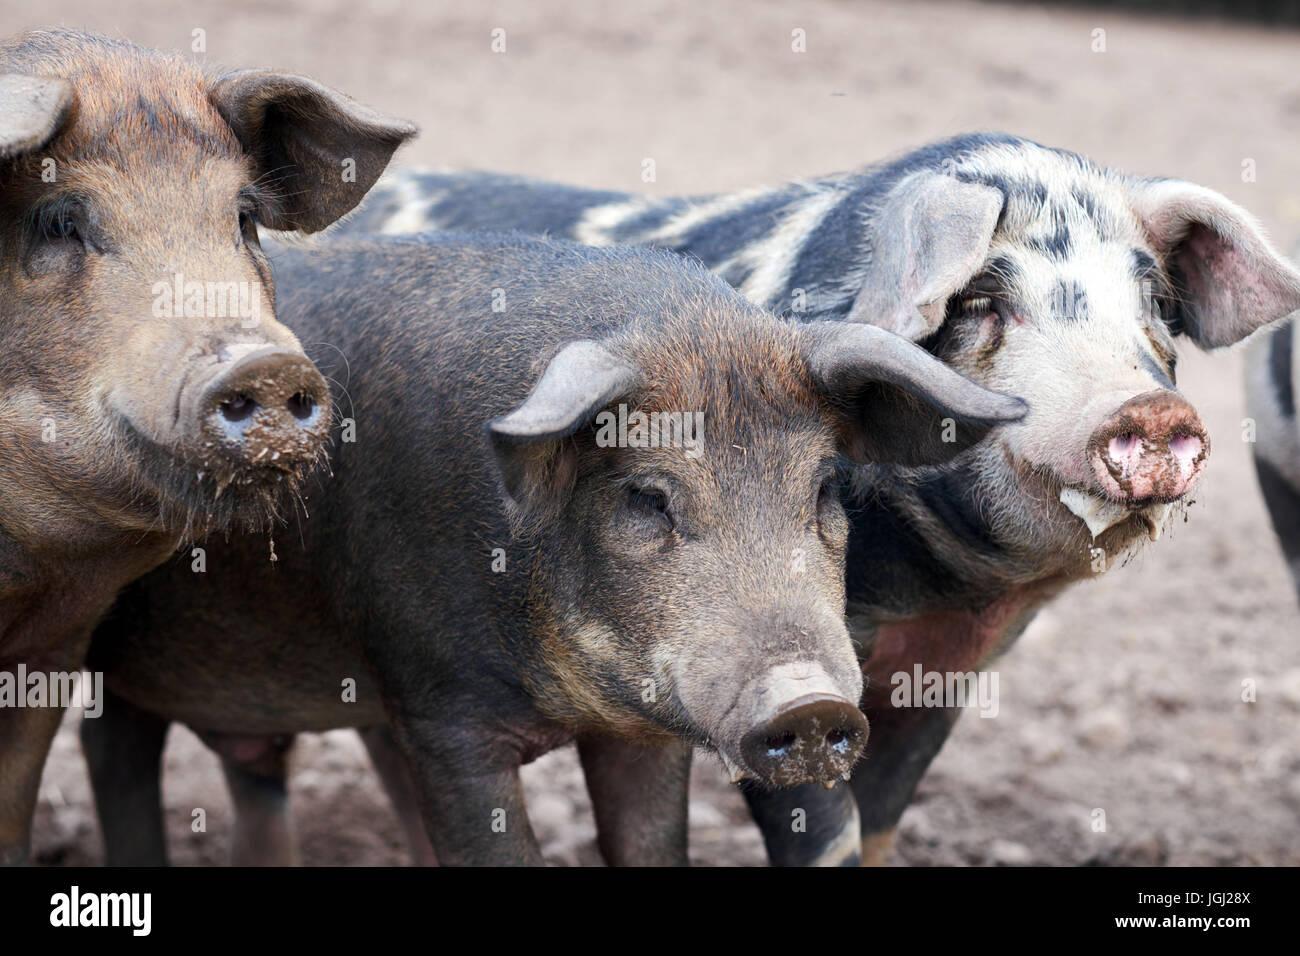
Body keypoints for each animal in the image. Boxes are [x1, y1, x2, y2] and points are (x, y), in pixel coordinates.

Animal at [338, 132, 1300, 868]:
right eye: (982, 301)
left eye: (1157, 303)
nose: (1151, 409)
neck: (942, 589)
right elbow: (820, 827)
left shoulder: (947, 676)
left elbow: (880, 822)